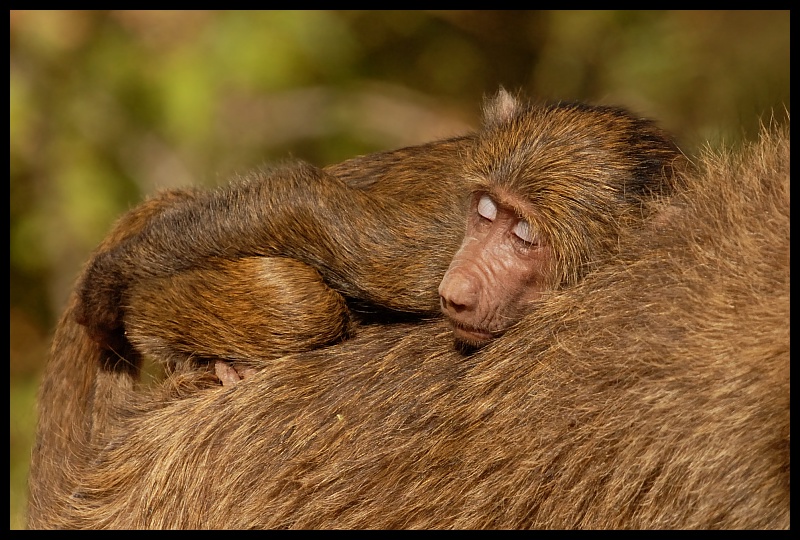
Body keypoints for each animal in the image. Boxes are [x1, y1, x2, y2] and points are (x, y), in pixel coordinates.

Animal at [26, 121, 788, 528]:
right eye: (486, 216)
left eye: (525, 238)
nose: (460, 285)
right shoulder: (422, 254)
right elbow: (304, 204)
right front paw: (100, 291)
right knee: (293, 299)